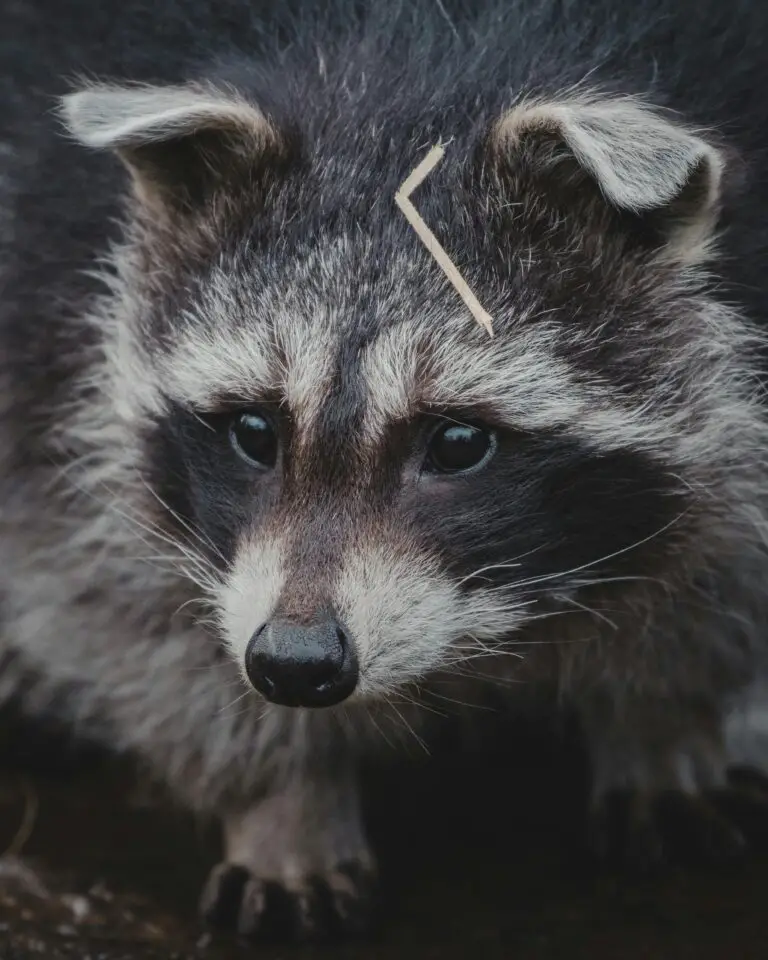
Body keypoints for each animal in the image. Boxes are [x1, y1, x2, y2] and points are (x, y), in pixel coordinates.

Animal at [4, 0, 768, 944]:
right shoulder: (46, 268)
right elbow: (105, 582)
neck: (420, 64)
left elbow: (720, 563)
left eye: (457, 443)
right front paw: (281, 796)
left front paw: (664, 721)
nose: (294, 663)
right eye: (254, 430)